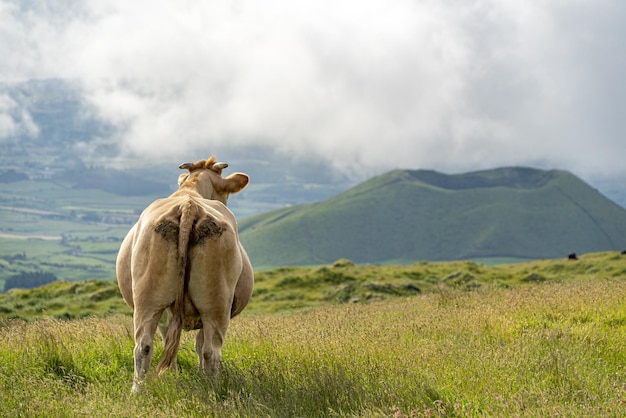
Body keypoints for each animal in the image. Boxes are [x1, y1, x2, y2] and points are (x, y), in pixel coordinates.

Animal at [116, 156, 252, 392]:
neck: (191, 189)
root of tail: (188, 205)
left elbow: (169, 343)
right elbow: (195, 345)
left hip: (149, 298)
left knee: (143, 346)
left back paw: (137, 391)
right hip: (216, 304)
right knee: (210, 351)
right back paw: (213, 389)